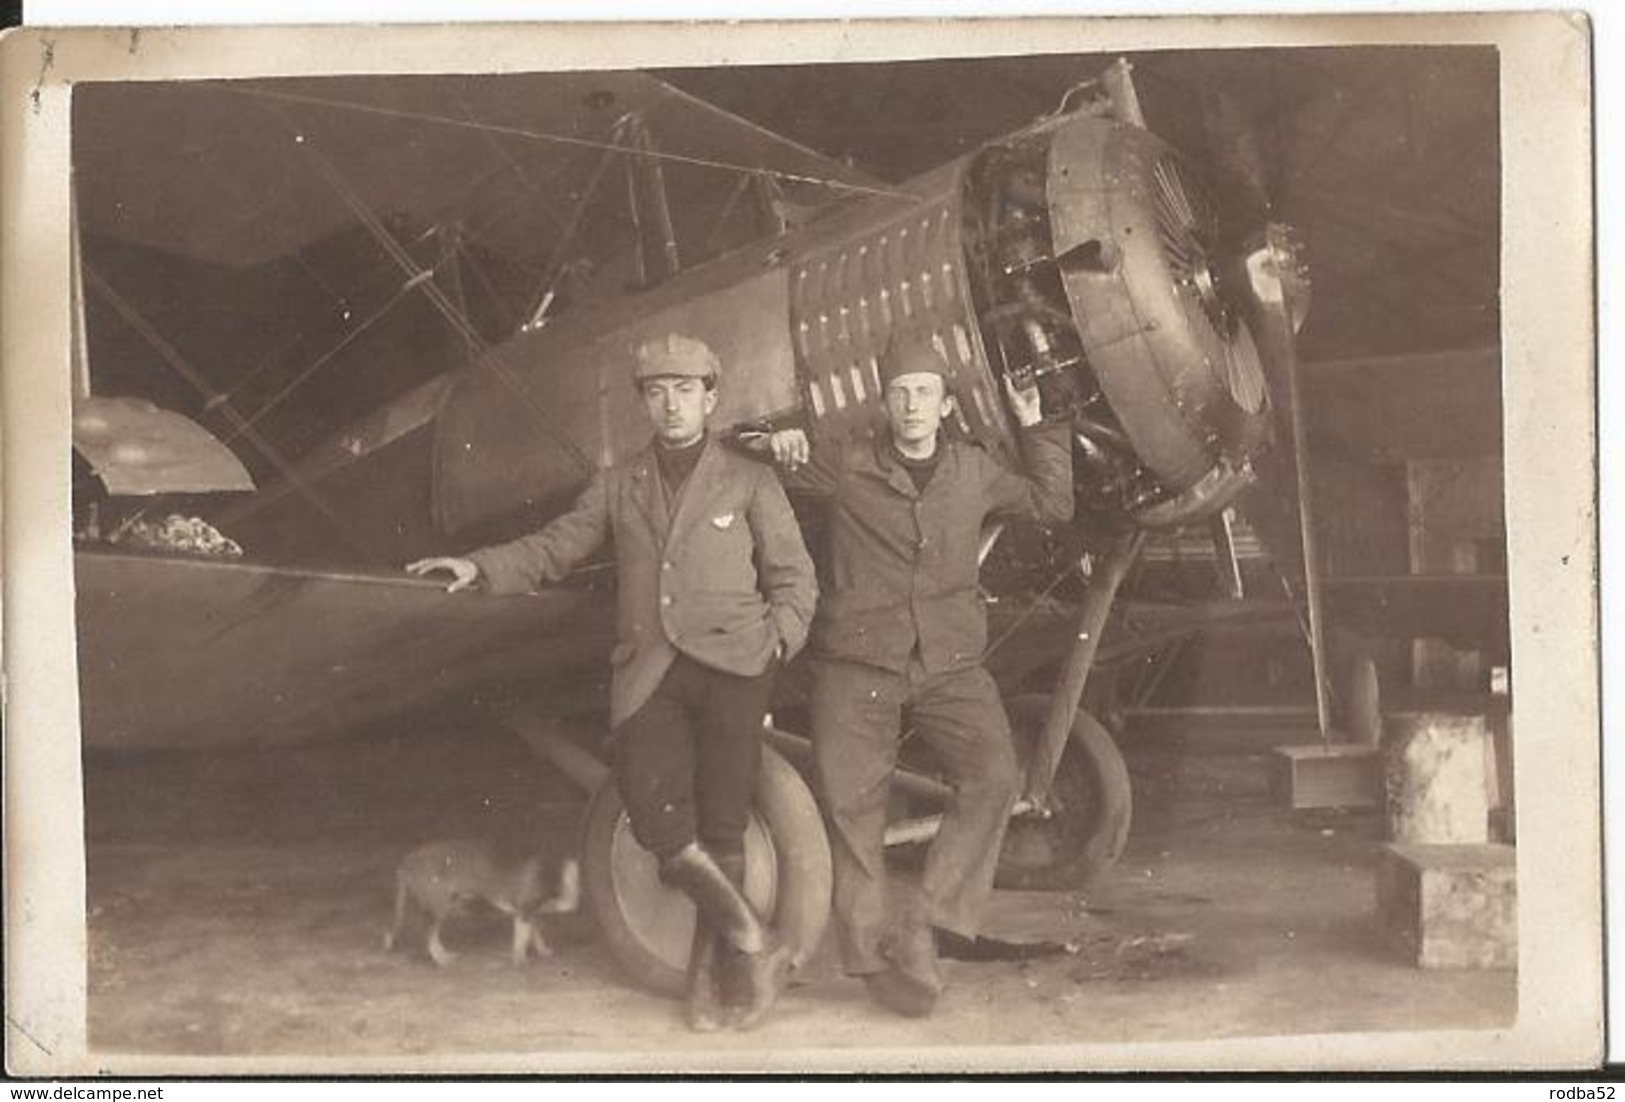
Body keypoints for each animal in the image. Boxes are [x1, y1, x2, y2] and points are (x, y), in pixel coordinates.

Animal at [383, 845, 581, 968]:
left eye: (577, 881)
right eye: (568, 882)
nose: (575, 901)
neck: (547, 870)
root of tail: (408, 860)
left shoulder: (529, 914)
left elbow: (535, 935)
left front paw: (542, 952)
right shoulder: (524, 911)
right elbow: (522, 939)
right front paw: (520, 960)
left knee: (430, 934)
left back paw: (443, 955)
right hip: (439, 906)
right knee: (428, 934)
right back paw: (441, 959)